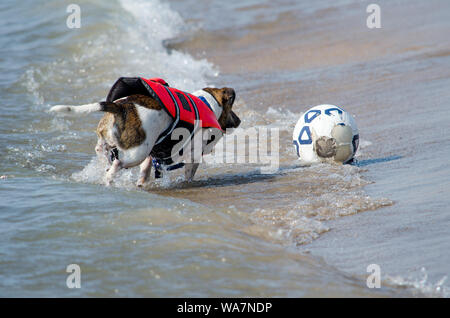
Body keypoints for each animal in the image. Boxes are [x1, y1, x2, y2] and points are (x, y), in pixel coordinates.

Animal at [49, 77, 241, 186]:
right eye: (230, 109)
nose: (239, 121)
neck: (207, 102)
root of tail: (121, 107)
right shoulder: (193, 154)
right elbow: (189, 172)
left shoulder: (152, 153)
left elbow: (146, 170)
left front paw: (142, 183)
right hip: (137, 153)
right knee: (118, 164)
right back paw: (109, 178)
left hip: (115, 141)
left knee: (101, 150)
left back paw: (105, 163)